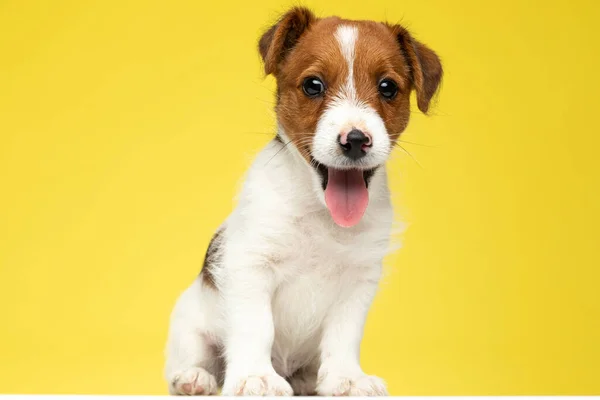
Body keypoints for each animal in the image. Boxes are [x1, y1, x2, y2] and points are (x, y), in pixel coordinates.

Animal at [163, 7, 440, 396]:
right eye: (313, 85)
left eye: (388, 88)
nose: (356, 140)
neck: (321, 212)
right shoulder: (251, 265)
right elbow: (256, 327)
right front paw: (255, 376)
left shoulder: (358, 282)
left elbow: (343, 336)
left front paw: (346, 377)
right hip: (189, 323)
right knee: (194, 359)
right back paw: (194, 377)